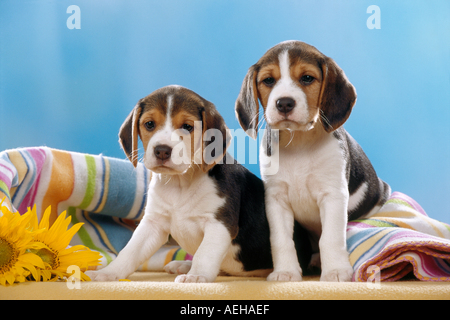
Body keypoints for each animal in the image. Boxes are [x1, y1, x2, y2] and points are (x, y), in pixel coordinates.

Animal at [84, 84, 312, 282]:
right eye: (149, 124)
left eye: (187, 127)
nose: (162, 150)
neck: (180, 184)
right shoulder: (153, 224)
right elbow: (130, 251)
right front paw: (107, 273)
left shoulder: (219, 224)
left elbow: (204, 253)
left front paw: (196, 276)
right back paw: (182, 265)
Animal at [236, 40, 390, 282]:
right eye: (268, 80)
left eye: (307, 78)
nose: (284, 103)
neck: (299, 142)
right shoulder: (276, 200)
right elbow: (281, 240)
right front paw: (285, 272)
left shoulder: (333, 195)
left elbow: (330, 238)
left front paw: (335, 270)